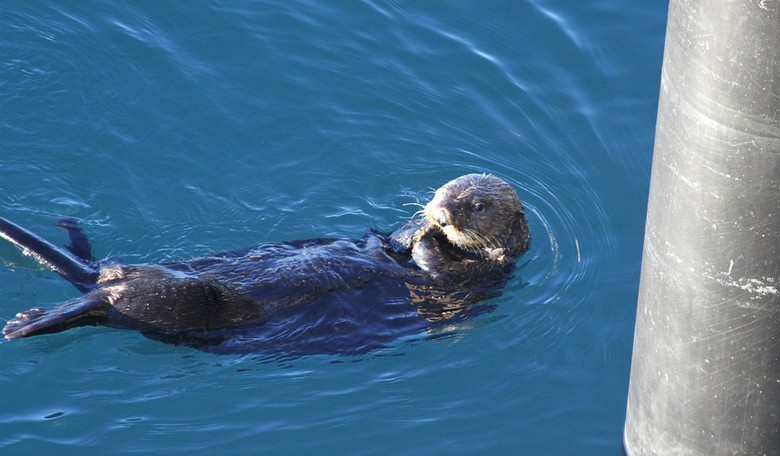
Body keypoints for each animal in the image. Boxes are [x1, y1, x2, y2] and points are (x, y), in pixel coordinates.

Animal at [1, 174, 529, 354]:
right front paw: (411, 228)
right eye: (444, 190)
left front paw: (428, 236)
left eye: (476, 205)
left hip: (184, 301)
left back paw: (25, 323)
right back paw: (72, 234)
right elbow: (386, 243)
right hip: (143, 276)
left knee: (101, 304)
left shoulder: (470, 282)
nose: (439, 210)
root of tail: (104, 281)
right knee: (99, 269)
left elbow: (441, 268)